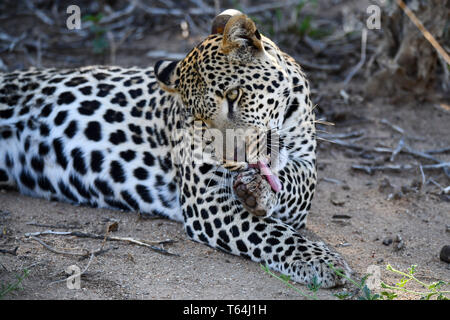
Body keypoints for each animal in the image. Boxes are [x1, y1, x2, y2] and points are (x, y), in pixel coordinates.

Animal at [0, 9, 352, 288]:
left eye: (234, 95)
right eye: (199, 120)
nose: (234, 159)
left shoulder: (306, 167)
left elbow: (295, 183)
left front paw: (257, 190)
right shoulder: (207, 201)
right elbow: (271, 232)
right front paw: (320, 261)